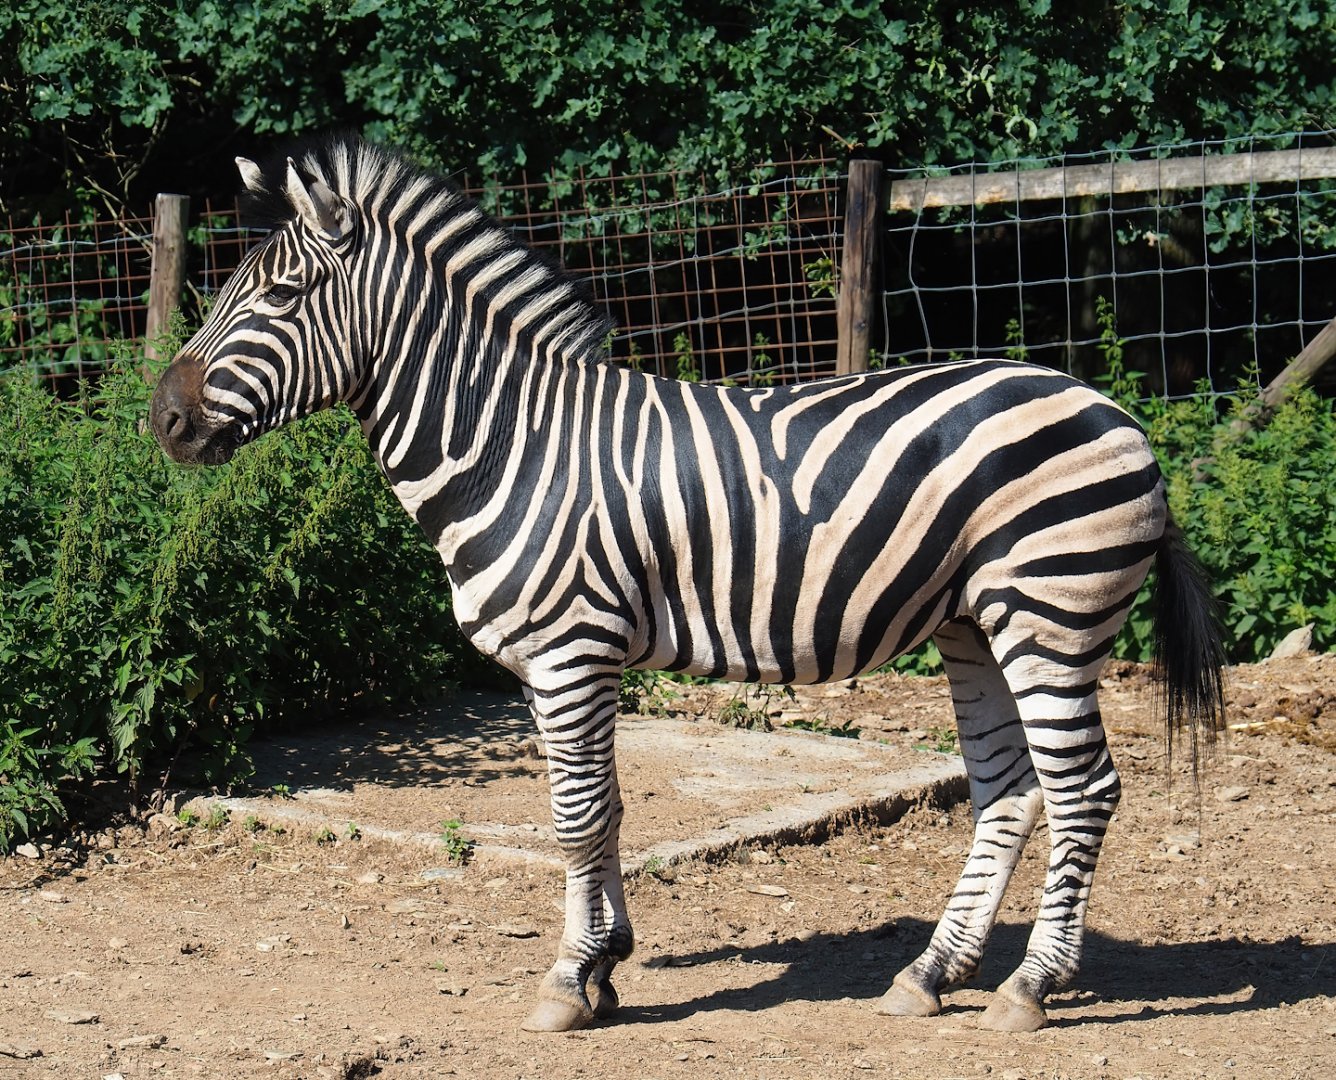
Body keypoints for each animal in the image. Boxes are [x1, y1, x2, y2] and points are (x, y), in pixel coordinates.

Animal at [150, 136, 1225, 1034]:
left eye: (282, 296)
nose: (161, 421)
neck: (508, 444)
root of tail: (1111, 408)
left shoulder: (571, 649)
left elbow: (577, 816)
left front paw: (569, 981)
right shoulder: (561, 663)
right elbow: (607, 809)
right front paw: (607, 965)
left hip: (1051, 613)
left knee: (1083, 789)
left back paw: (1029, 988)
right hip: (975, 624)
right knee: (1009, 791)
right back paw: (930, 975)